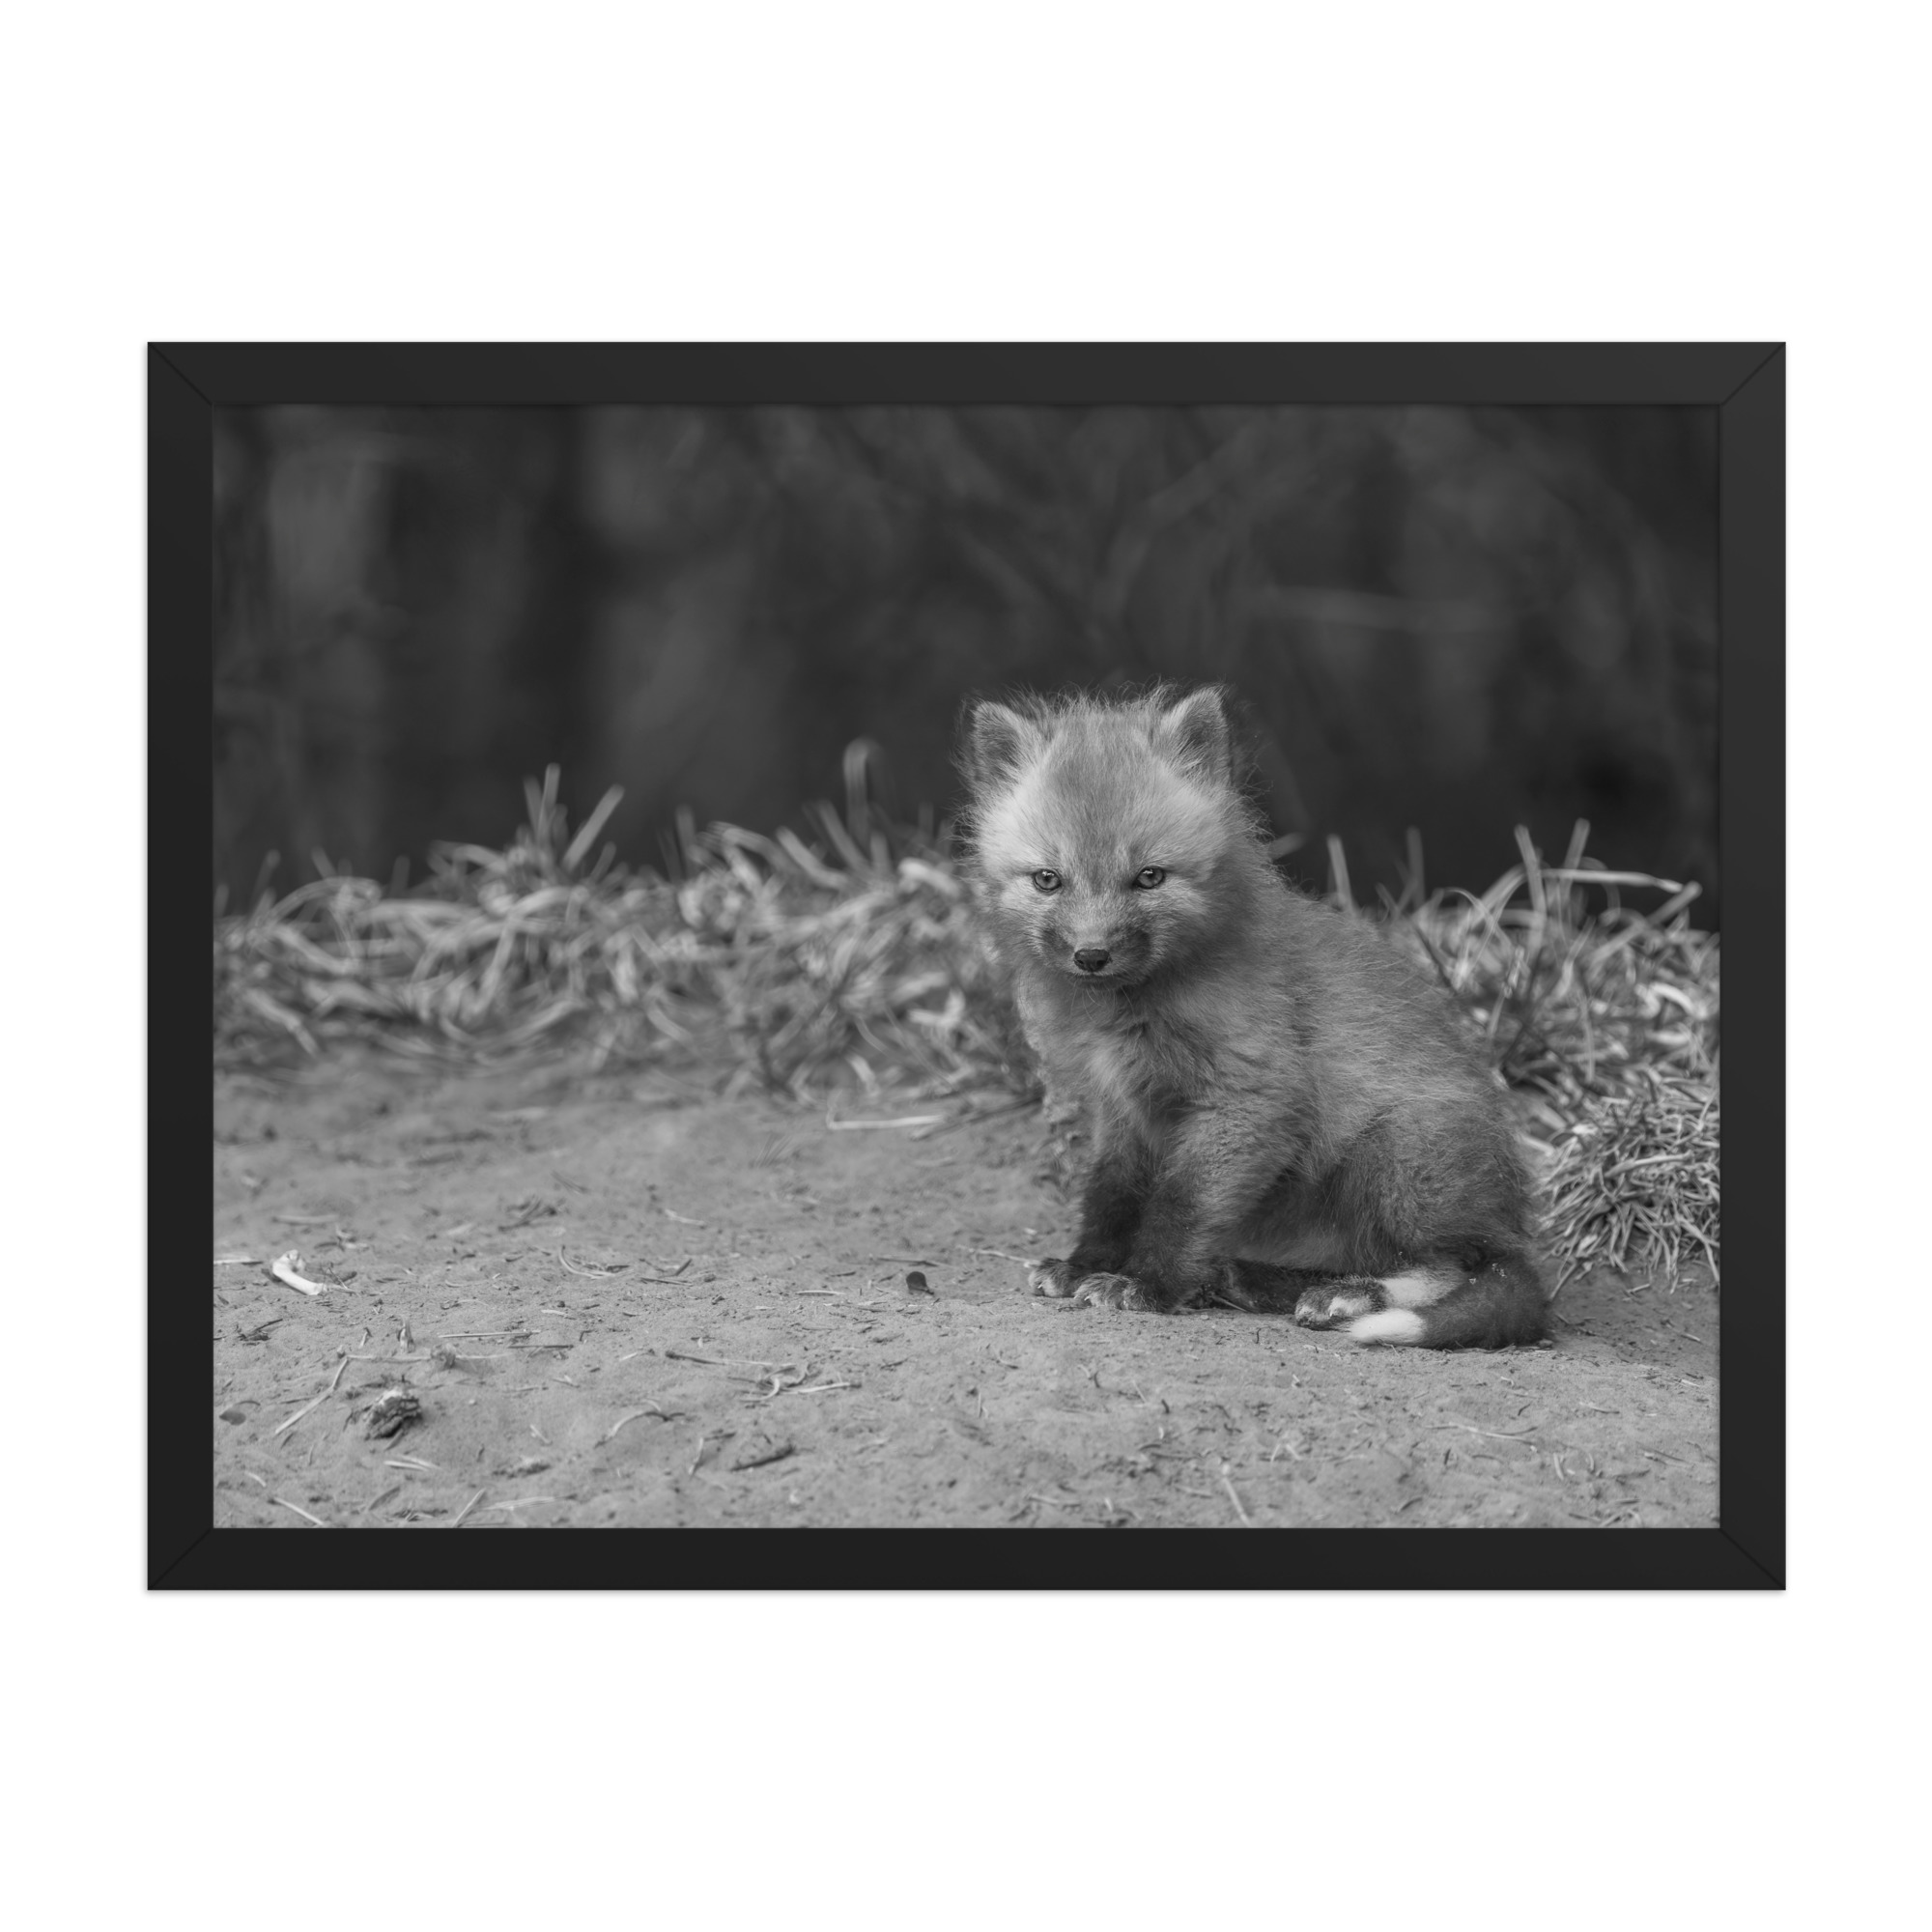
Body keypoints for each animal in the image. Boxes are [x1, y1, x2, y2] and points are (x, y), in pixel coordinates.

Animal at [958, 683, 1547, 1348]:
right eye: (1048, 880)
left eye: (1149, 877)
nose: (1091, 955)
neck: (1132, 1013)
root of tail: (1509, 1218)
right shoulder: (1123, 1109)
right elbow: (1111, 1196)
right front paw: (1086, 1264)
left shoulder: (1250, 1097)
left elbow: (1181, 1204)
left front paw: (1147, 1284)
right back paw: (1254, 1280)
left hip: (1395, 1156)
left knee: (1461, 1267)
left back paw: (1349, 1297)